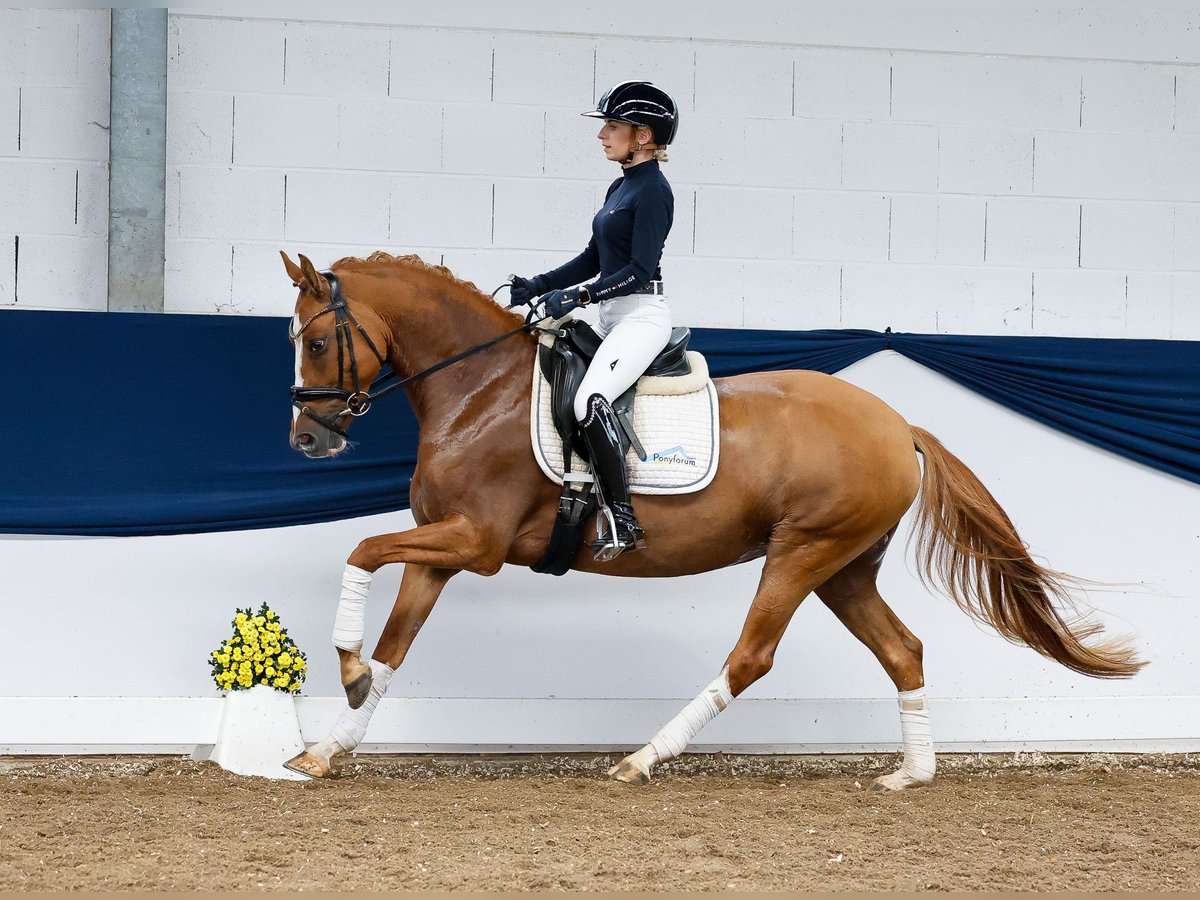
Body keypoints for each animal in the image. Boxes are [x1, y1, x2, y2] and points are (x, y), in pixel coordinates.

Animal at [276, 250, 1137, 787]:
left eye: (315, 342)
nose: (307, 440)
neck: (479, 390)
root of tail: (899, 427)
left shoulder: (476, 542)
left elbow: (362, 550)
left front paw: (343, 668)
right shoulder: (443, 549)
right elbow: (395, 648)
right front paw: (330, 741)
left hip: (801, 554)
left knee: (750, 657)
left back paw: (642, 759)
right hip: (844, 569)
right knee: (903, 649)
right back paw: (911, 773)